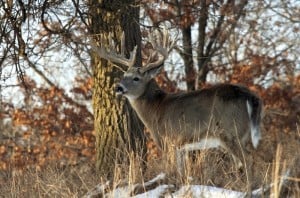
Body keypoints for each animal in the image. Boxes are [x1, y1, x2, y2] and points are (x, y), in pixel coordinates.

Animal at [91, 29, 262, 173]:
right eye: (123, 75)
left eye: (136, 78)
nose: (118, 87)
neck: (155, 108)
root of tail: (250, 96)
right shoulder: (180, 147)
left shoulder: (168, 140)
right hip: (241, 134)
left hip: (230, 131)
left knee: (247, 159)